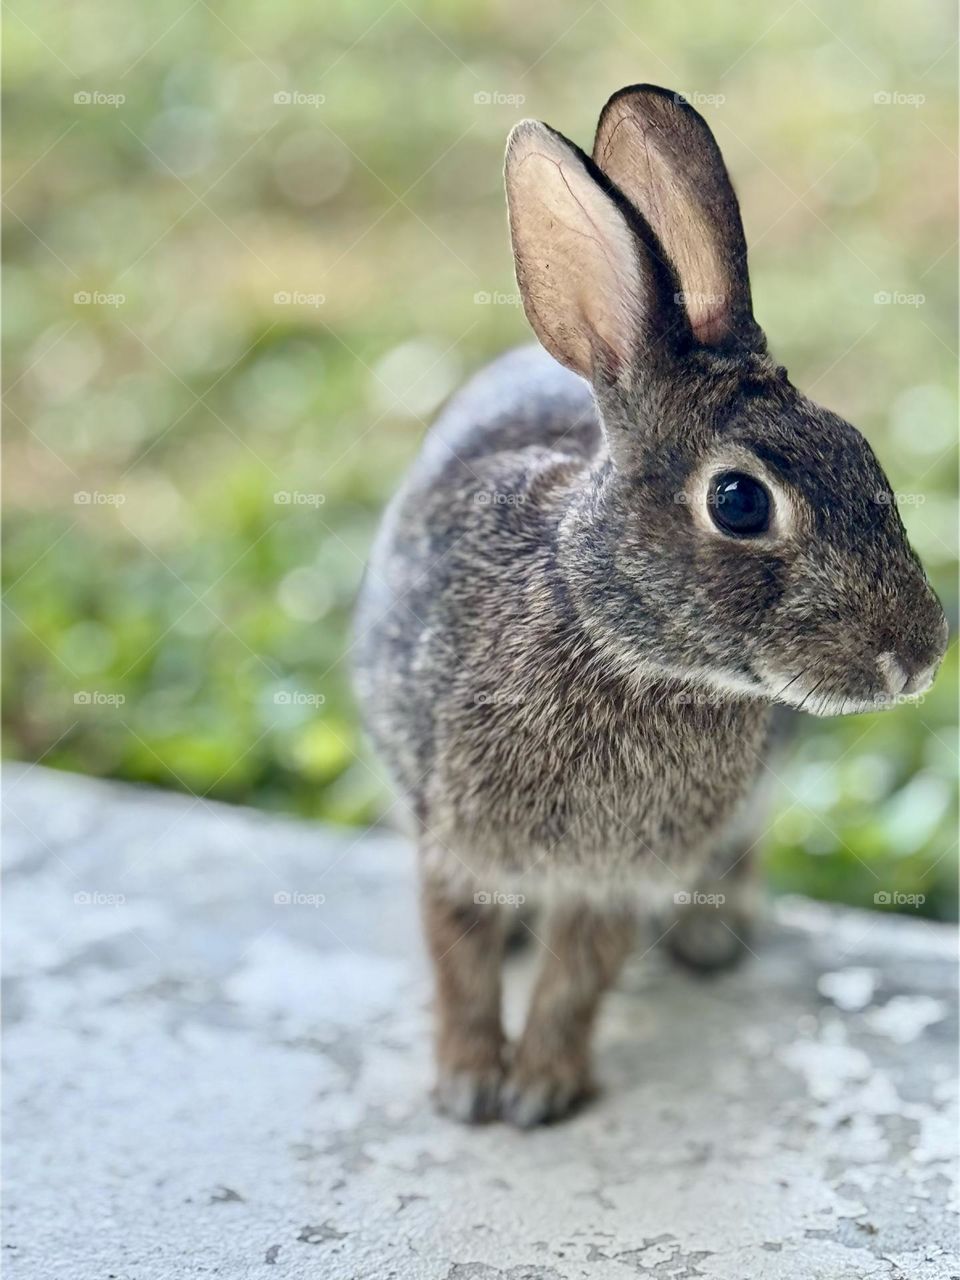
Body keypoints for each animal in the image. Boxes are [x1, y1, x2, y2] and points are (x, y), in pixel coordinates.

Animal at [350, 87, 947, 1131]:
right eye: (739, 502)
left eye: (866, 454)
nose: (919, 655)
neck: (611, 637)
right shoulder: (451, 837)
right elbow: (459, 958)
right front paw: (468, 1084)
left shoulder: (620, 874)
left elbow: (577, 980)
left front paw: (541, 1089)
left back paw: (713, 942)